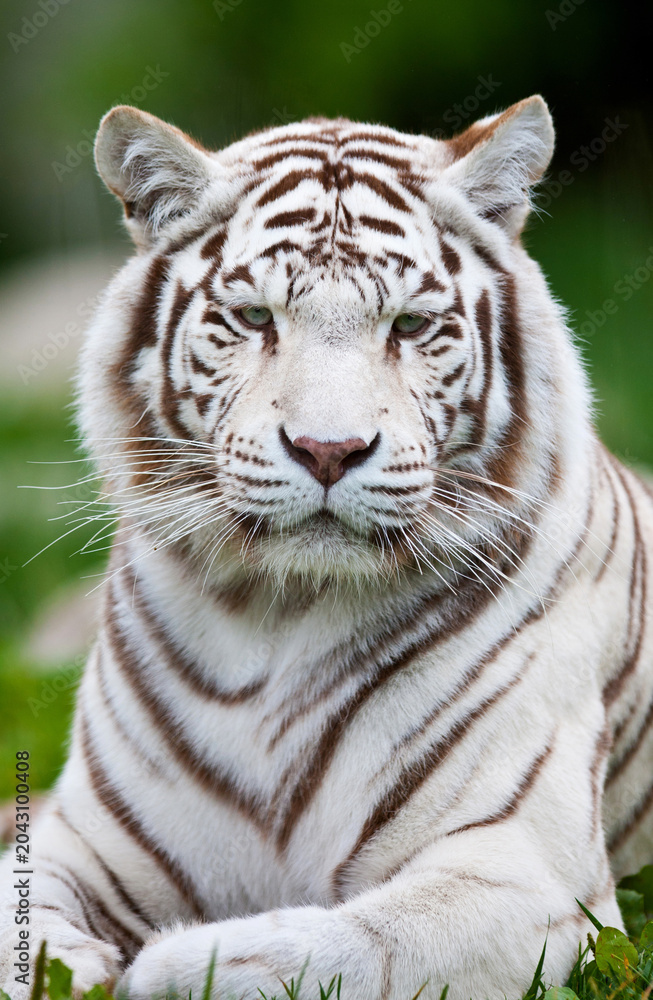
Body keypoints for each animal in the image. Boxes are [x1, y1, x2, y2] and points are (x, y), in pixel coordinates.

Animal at [1, 93, 652, 1000]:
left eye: (410, 325)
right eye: (253, 318)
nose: (328, 450)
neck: (280, 613)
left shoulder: (526, 874)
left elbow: (347, 946)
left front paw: (163, 963)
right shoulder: (82, 836)